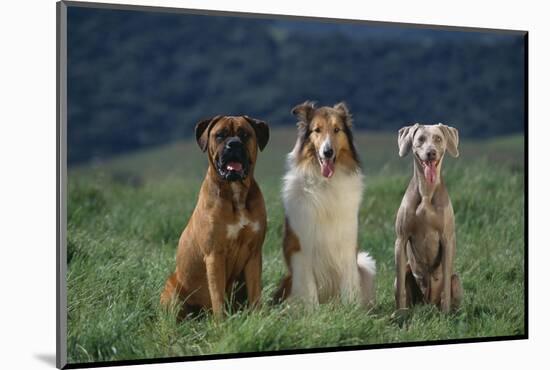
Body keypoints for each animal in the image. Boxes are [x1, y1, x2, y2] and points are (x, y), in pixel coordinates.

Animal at [161, 115, 270, 318]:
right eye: (220, 135)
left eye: (244, 134)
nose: (233, 144)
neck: (236, 193)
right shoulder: (214, 255)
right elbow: (217, 295)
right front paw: (222, 322)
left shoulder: (253, 254)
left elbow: (255, 293)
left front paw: (258, 318)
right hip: (172, 289)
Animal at [394, 123, 464, 312]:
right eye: (420, 139)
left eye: (438, 139)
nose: (431, 152)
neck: (426, 191)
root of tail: (428, 303)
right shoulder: (401, 239)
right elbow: (400, 290)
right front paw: (399, 314)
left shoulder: (447, 239)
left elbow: (446, 286)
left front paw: (446, 314)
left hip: (457, 280)